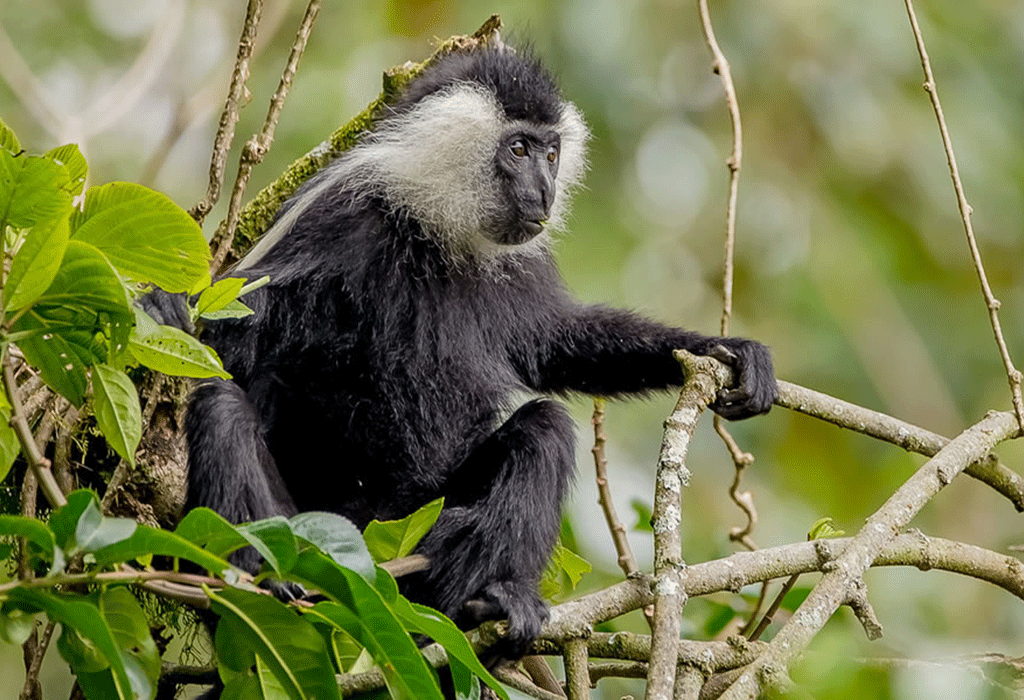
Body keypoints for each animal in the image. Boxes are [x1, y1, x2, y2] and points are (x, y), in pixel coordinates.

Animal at [157, 44, 778, 658]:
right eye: (519, 149)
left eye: (552, 154)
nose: (545, 191)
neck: (435, 227)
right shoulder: (339, 223)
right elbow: (236, 321)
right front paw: (159, 304)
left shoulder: (520, 263)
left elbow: (559, 342)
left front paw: (731, 351)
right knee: (222, 408)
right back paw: (259, 581)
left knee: (545, 430)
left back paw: (490, 600)